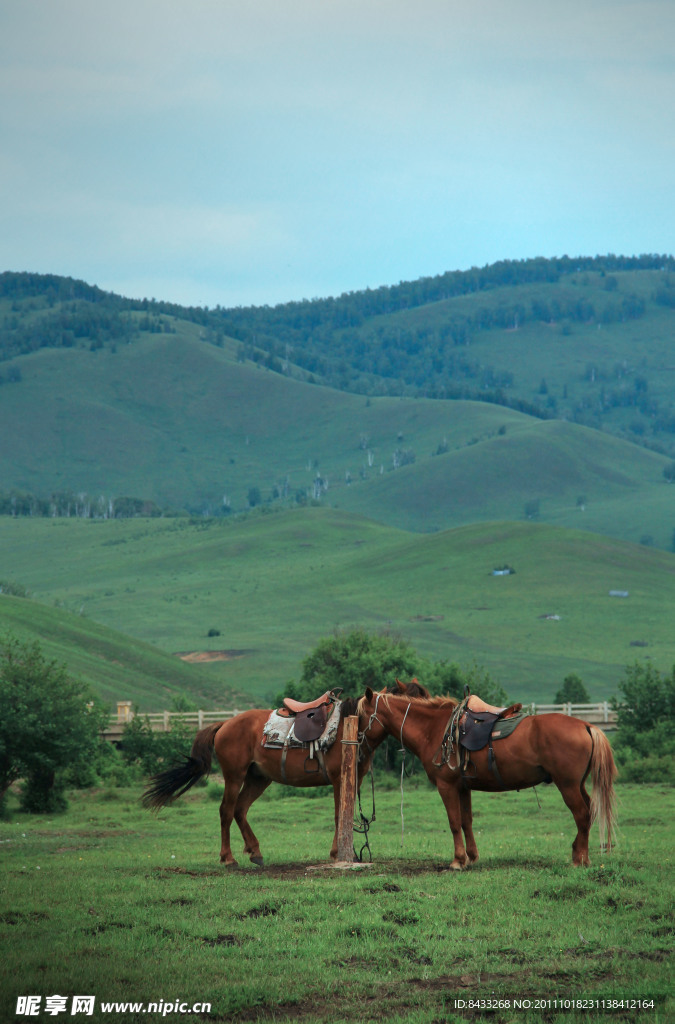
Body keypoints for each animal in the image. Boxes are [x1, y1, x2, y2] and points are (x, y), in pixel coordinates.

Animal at [142, 692, 393, 868]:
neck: (349, 727)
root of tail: (224, 724)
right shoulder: (338, 779)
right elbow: (340, 815)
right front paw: (339, 854)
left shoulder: (353, 780)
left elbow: (346, 815)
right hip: (234, 776)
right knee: (226, 810)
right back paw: (228, 858)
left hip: (258, 779)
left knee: (240, 809)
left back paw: (255, 852)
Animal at [358, 684, 618, 868]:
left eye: (359, 717)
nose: (358, 747)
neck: (434, 729)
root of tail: (587, 725)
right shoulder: (463, 787)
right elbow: (466, 821)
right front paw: (471, 856)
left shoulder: (446, 786)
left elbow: (454, 822)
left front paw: (458, 860)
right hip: (578, 784)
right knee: (589, 812)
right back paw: (579, 853)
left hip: (567, 785)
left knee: (582, 814)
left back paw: (580, 859)